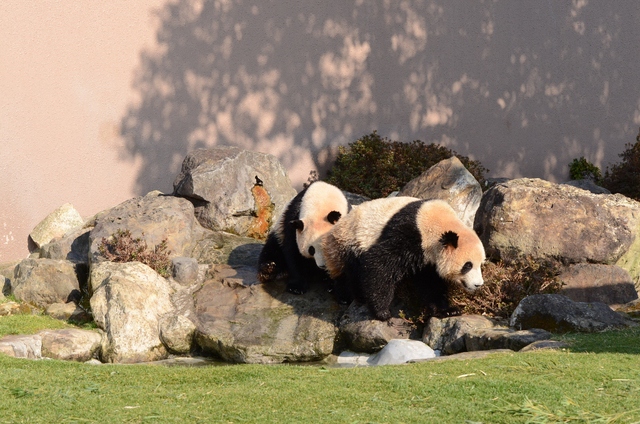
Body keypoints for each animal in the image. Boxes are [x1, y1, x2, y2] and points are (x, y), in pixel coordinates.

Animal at [322, 197, 488, 320]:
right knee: (348, 272)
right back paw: (349, 296)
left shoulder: (427, 259)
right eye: (468, 265)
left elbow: (430, 283)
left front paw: (448, 310)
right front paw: (382, 311)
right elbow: (379, 264)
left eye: (480, 264)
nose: (478, 284)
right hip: (348, 242)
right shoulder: (410, 234)